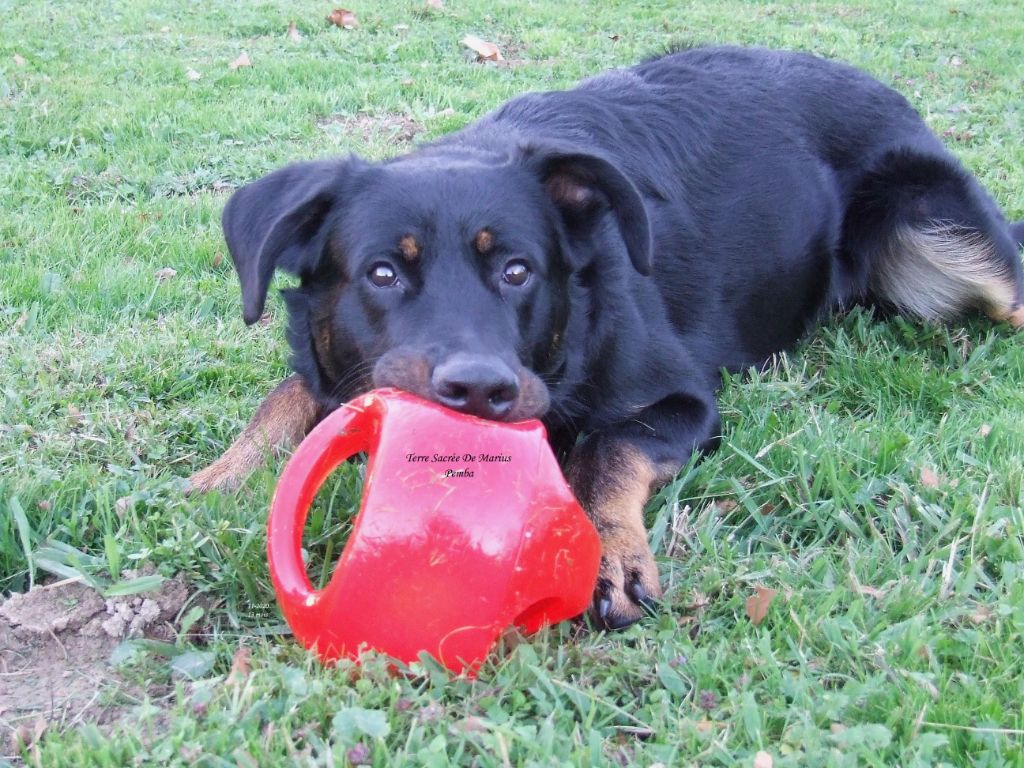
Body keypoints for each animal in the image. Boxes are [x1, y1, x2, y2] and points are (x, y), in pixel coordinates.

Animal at [190, 46, 1024, 630]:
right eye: (384, 273)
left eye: (518, 271)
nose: (480, 389)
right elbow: (285, 394)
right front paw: (223, 476)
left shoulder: (684, 400)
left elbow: (607, 448)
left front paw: (606, 552)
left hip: (939, 229)